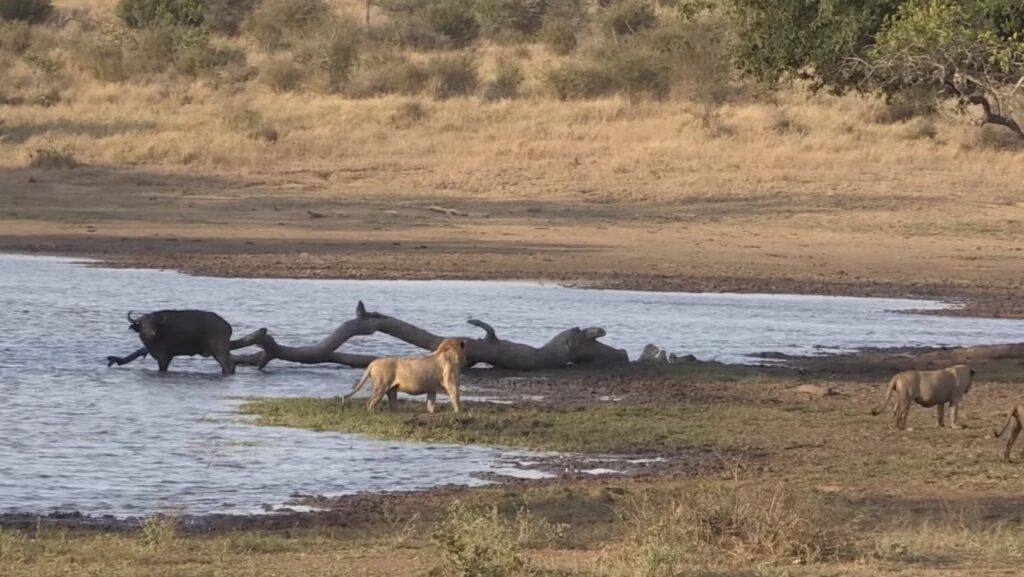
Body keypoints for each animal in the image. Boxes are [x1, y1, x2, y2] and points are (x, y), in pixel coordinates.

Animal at [107, 311, 235, 375]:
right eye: (144, 324)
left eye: (154, 323)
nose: (152, 333)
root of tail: (227, 326)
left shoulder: (164, 357)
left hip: (220, 351)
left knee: (229, 366)